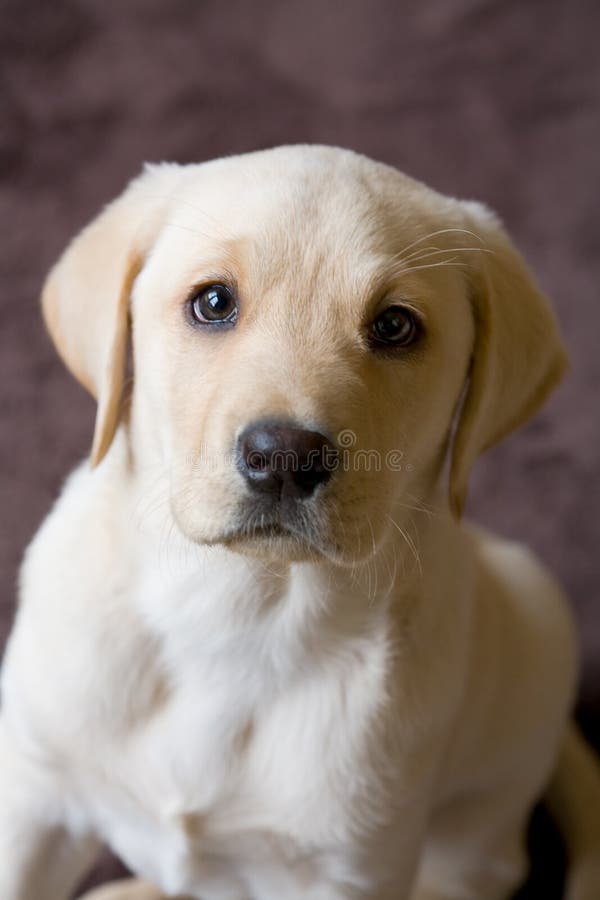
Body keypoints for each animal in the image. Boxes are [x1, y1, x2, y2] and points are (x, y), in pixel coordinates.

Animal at [1, 148, 600, 900]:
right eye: (214, 303)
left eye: (395, 326)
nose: (285, 457)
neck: (234, 613)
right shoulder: (34, 801)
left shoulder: (348, 869)